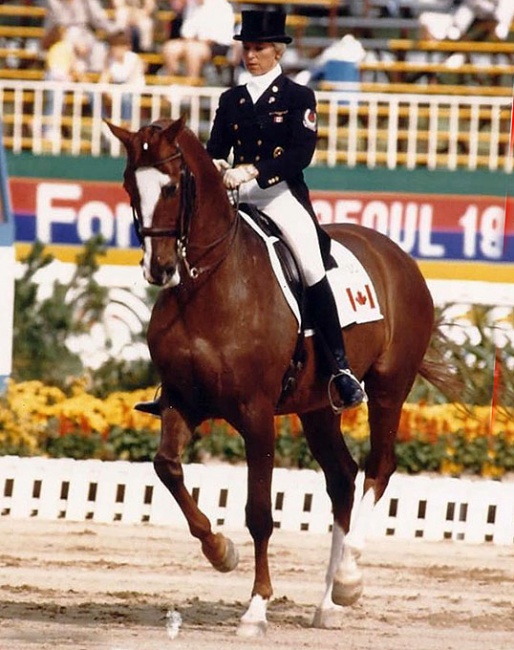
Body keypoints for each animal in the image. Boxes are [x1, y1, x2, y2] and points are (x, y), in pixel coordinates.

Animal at [106, 115, 450, 632]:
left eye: (171, 186)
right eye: (130, 184)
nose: (159, 268)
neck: (208, 283)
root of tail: (398, 256)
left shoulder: (256, 414)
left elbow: (260, 513)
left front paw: (256, 607)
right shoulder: (183, 401)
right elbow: (166, 467)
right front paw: (220, 552)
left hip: (390, 389)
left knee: (379, 467)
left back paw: (348, 580)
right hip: (317, 406)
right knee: (342, 478)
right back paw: (326, 604)